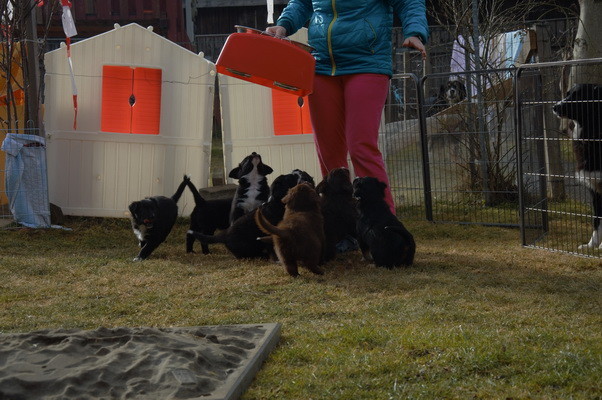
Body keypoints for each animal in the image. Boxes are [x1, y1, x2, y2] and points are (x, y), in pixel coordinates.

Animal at [553, 83, 602, 249]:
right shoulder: (595, 190)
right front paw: (592, 245)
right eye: (568, 93)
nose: (555, 107)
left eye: (579, 95)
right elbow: (597, 220)